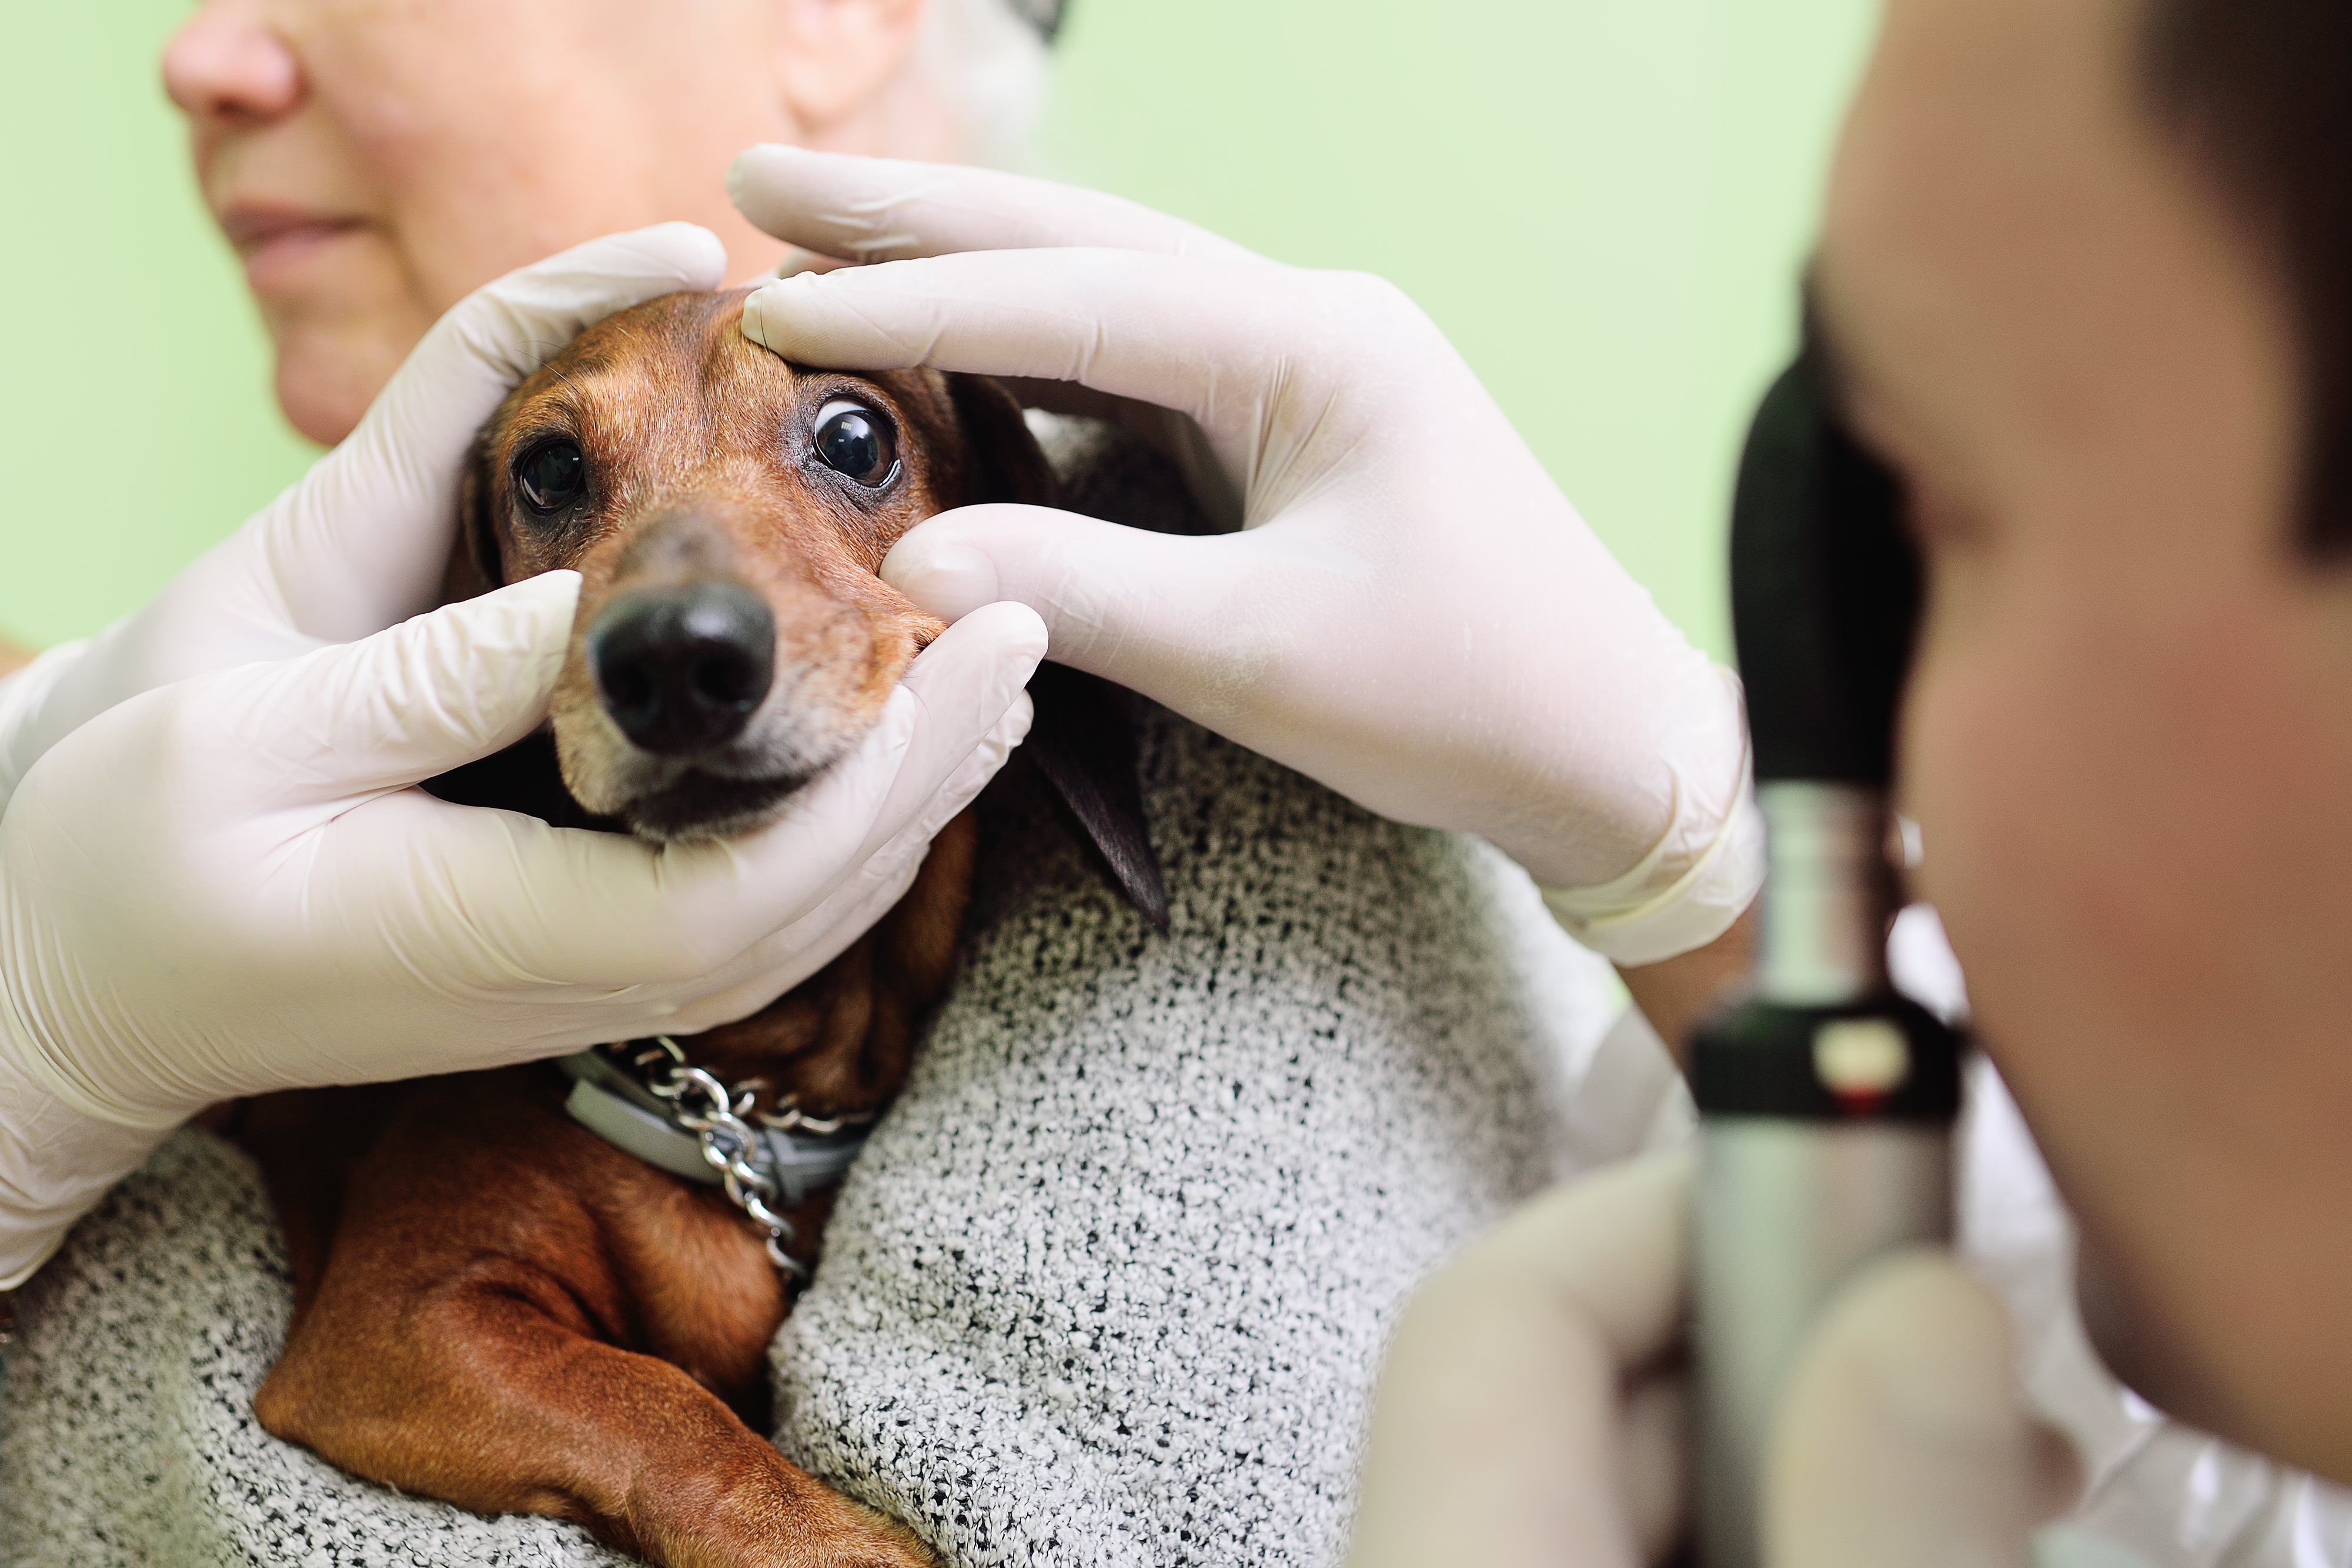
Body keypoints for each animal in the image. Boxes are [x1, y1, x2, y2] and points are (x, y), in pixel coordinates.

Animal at [225, 291, 1162, 1568]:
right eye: (548, 468)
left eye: (856, 437)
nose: (673, 655)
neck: (745, 1090)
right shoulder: (399, 1315)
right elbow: (659, 1407)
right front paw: (829, 1540)